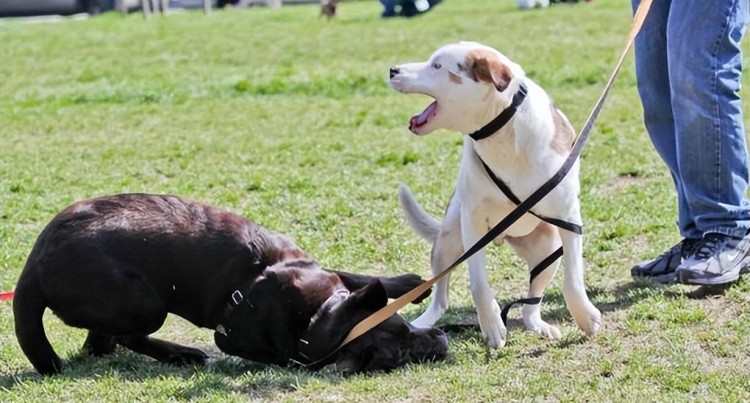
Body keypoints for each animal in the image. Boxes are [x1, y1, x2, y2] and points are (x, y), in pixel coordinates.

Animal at [13, 194, 446, 378]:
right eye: (399, 354)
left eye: (403, 325)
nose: (443, 339)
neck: (317, 317)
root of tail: (32, 268)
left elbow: (363, 278)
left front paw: (412, 284)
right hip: (144, 303)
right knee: (127, 336)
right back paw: (180, 354)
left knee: (103, 340)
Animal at [390, 42, 604, 348]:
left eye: (437, 66)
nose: (392, 70)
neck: (501, 131)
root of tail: (506, 237)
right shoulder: (473, 221)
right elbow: (479, 284)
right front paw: (492, 325)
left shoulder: (568, 217)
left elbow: (573, 279)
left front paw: (585, 317)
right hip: (448, 242)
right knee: (440, 297)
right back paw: (421, 323)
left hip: (548, 249)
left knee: (531, 303)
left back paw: (539, 325)